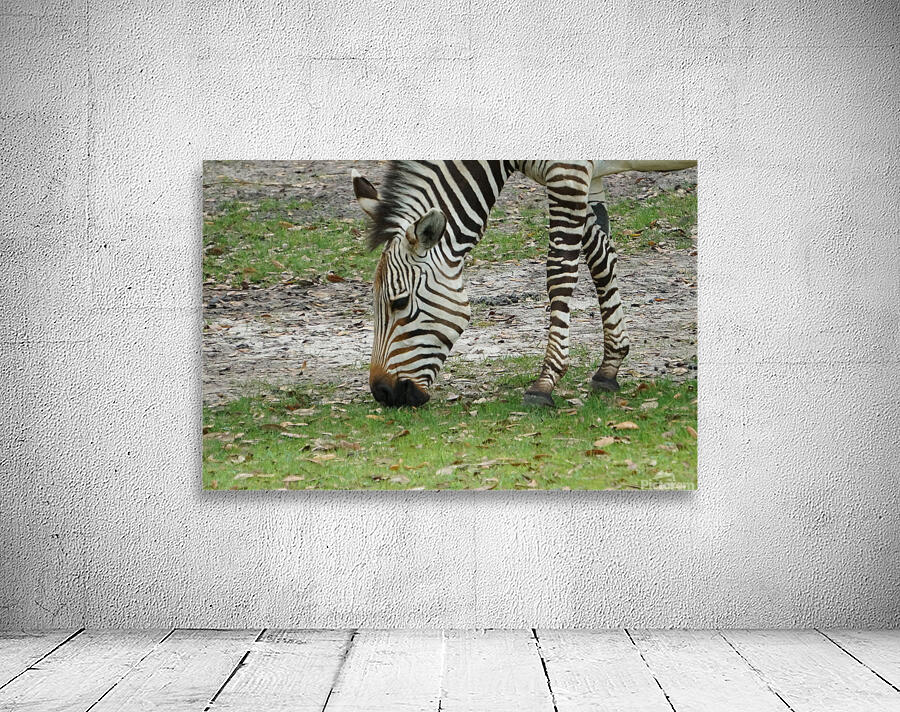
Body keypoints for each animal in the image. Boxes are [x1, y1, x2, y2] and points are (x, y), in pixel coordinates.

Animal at [351, 160, 696, 407]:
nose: (383, 393)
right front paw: (610, 365)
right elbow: (600, 258)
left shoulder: (568, 172)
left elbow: (561, 271)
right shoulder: (584, 179)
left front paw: (544, 383)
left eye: (399, 302)